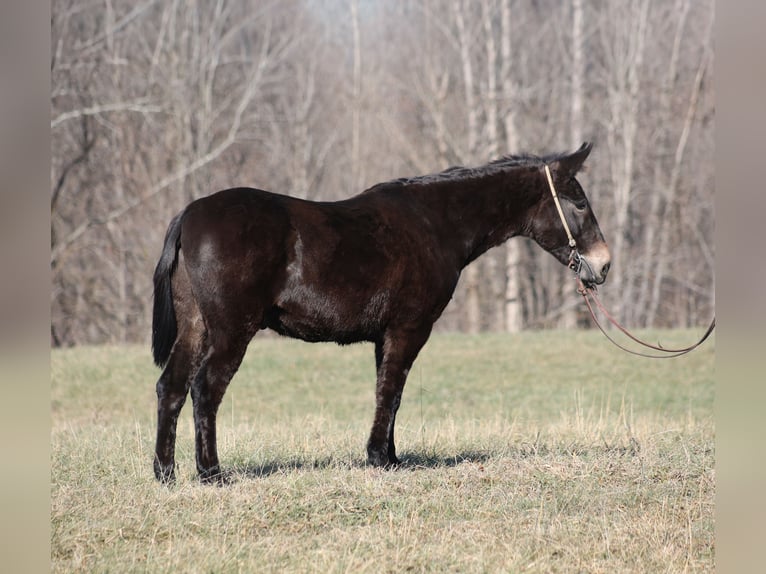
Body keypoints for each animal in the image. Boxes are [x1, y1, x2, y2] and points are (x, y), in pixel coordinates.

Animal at [151, 142, 611, 483]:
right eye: (579, 202)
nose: (603, 265)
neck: (435, 223)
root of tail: (188, 215)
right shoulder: (410, 329)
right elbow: (392, 391)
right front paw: (379, 458)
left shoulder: (385, 335)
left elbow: (386, 391)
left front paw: (388, 455)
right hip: (231, 331)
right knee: (205, 388)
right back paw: (211, 473)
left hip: (196, 328)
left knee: (171, 387)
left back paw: (166, 472)